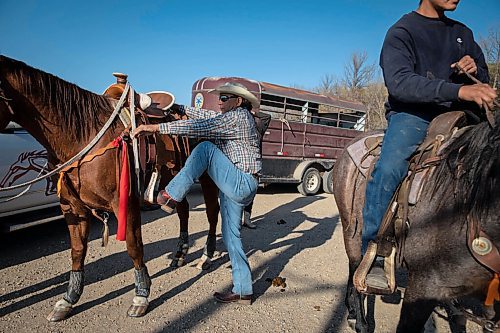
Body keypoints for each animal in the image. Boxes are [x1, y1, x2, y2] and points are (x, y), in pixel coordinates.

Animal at [0, 55, 219, 320]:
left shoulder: (126, 202)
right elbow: (77, 251)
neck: (82, 135)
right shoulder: (72, 208)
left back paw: (206, 256)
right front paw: (68, 299)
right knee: (184, 209)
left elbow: (134, 247)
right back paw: (179, 254)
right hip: (173, 176)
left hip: (207, 177)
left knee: (212, 213)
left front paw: (141, 294)